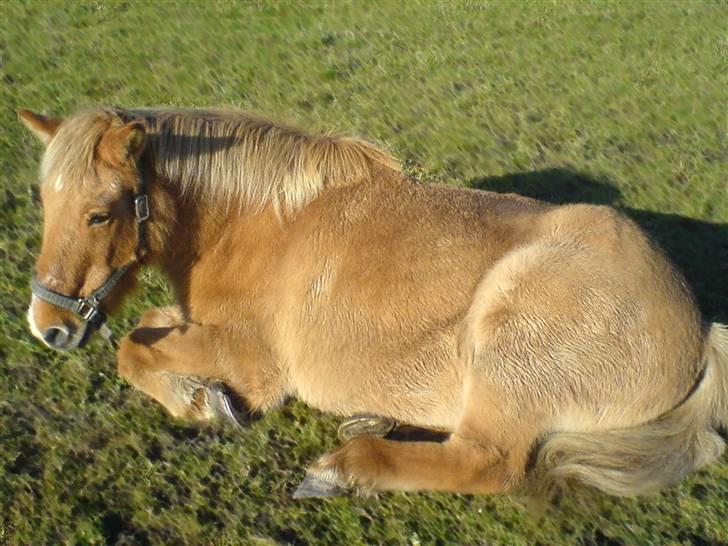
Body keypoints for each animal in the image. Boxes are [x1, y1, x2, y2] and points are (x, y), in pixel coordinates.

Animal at [18, 105, 728, 498]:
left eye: (100, 214)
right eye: (44, 200)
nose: (47, 326)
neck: (253, 225)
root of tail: (699, 332)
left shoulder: (253, 362)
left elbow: (134, 351)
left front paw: (204, 402)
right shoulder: (192, 320)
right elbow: (143, 330)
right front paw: (196, 394)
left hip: (508, 339)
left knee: (486, 463)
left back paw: (345, 468)